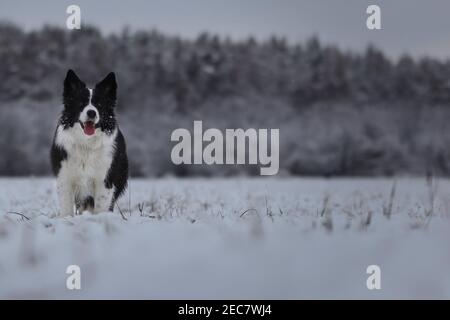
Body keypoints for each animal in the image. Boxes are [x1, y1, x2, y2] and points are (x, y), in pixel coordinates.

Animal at [51, 69, 128, 215]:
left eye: (99, 105)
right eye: (81, 104)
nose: (92, 113)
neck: (86, 143)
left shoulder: (104, 179)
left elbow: (101, 206)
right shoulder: (65, 177)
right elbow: (67, 207)